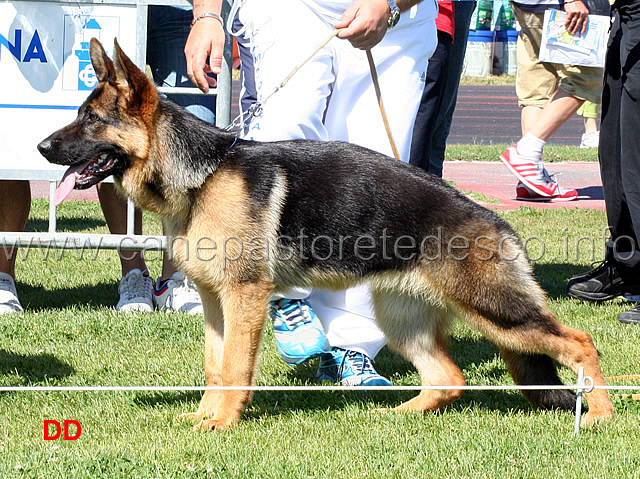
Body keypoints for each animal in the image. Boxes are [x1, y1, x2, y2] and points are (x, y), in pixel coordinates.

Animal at [36, 40, 616, 432]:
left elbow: (234, 367)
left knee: (580, 342)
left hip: (497, 311)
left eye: (90, 120)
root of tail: (495, 219)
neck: (203, 174)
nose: (41, 147)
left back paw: (601, 415)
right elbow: (214, 366)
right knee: (449, 377)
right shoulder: (215, 301)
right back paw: (398, 414)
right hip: (403, 318)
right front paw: (204, 417)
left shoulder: (244, 298)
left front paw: (223, 424)